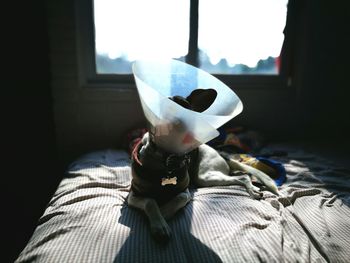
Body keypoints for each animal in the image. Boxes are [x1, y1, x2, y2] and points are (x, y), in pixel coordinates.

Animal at [126, 89, 278, 244]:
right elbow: (150, 202)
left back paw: (253, 190)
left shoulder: (184, 192)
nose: (178, 121)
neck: (165, 161)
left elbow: (178, 198)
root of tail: (222, 154)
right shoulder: (134, 195)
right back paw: (254, 188)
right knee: (241, 175)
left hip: (205, 176)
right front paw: (159, 224)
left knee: (243, 177)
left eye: (185, 107)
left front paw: (163, 217)